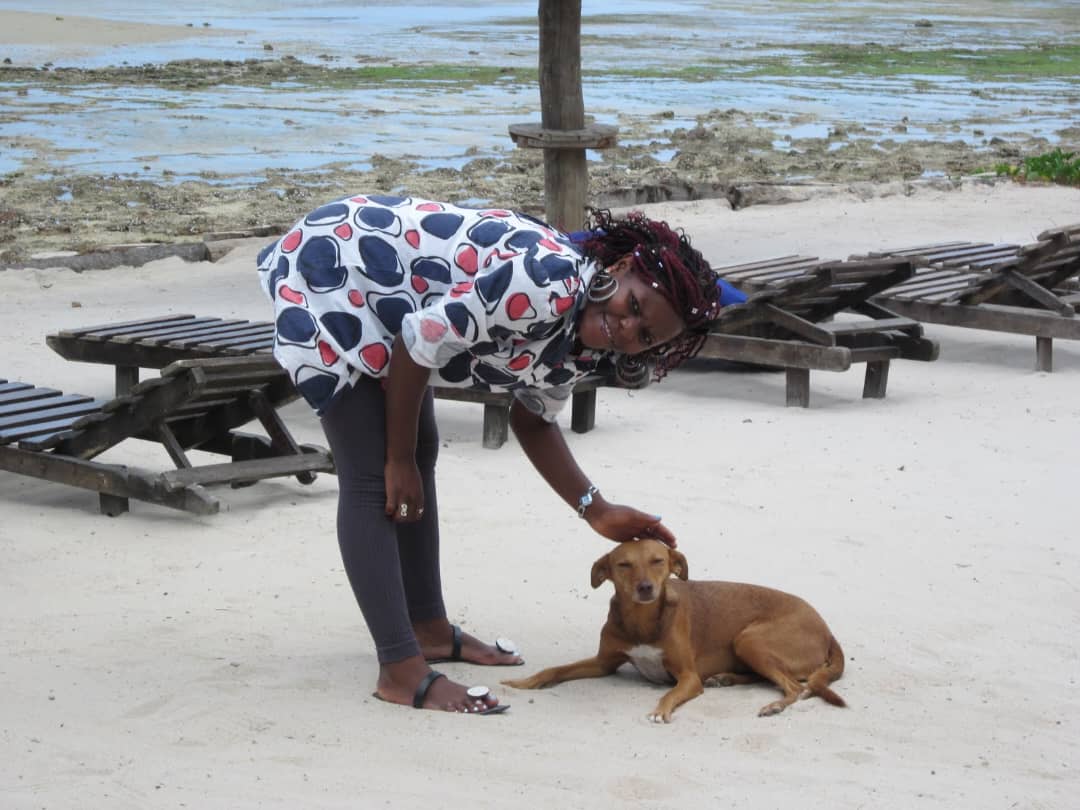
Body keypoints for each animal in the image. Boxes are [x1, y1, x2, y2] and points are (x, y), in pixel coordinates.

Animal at [503, 538, 845, 722]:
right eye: (623, 565)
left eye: (658, 561)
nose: (645, 588)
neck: (642, 620)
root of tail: (827, 631)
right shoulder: (603, 663)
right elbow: (554, 670)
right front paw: (524, 682)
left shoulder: (689, 677)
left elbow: (670, 692)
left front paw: (660, 710)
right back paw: (726, 678)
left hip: (749, 639)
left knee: (795, 687)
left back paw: (773, 705)